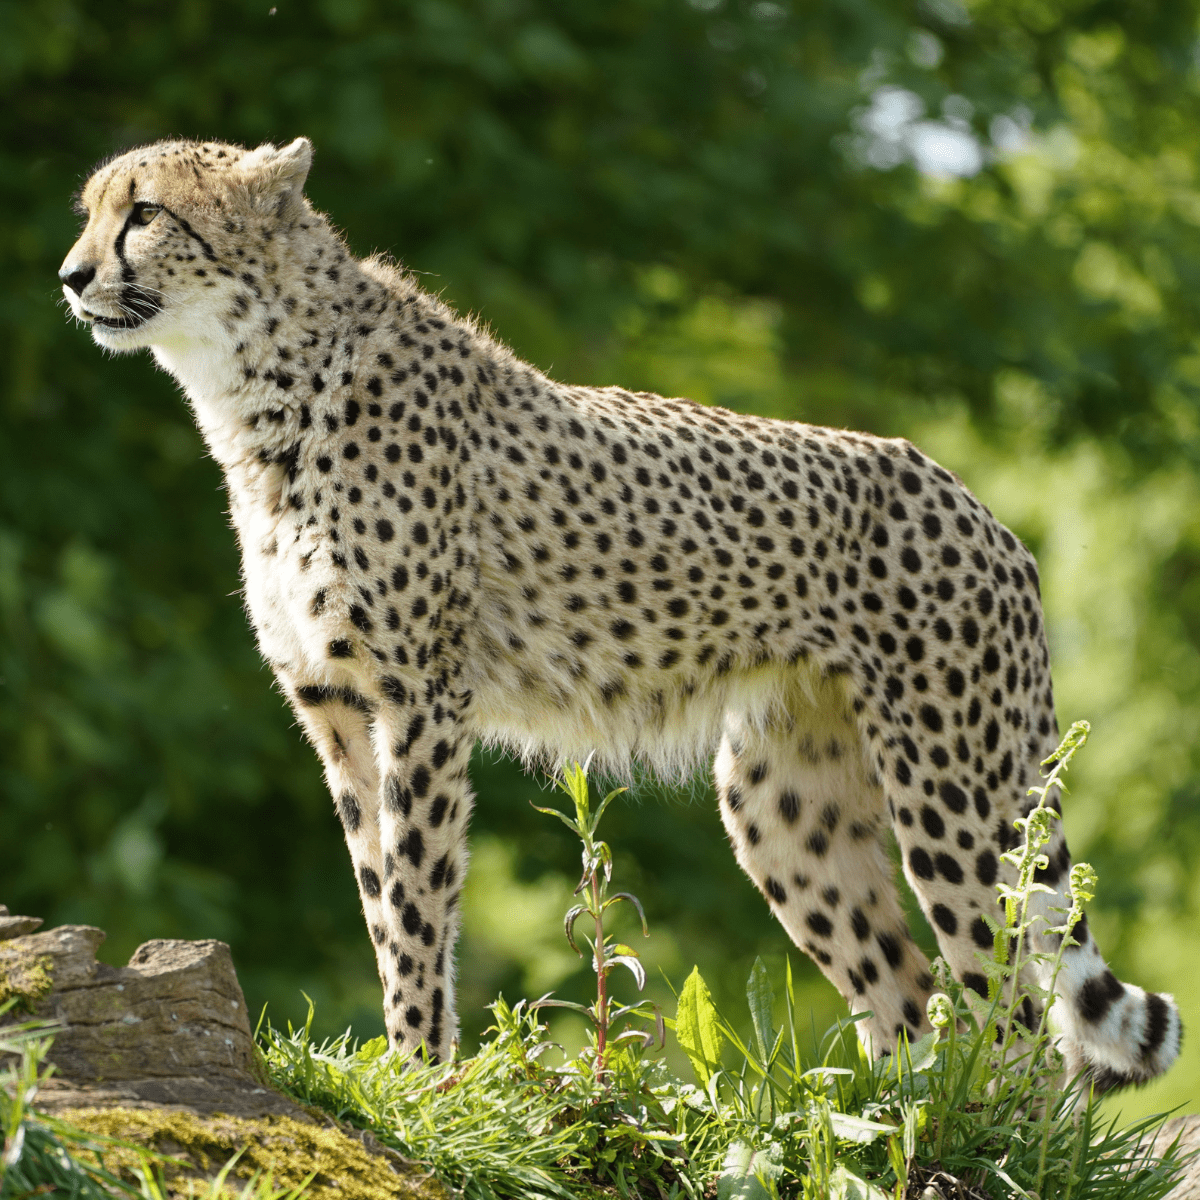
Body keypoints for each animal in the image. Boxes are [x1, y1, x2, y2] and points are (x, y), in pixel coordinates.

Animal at [59, 136, 1180, 1092]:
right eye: (90, 213)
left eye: (145, 213)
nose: (69, 276)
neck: (262, 385)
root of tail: (980, 507)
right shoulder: (333, 706)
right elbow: (380, 897)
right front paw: (401, 1065)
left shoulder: (418, 700)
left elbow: (420, 903)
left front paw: (420, 1077)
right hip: (784, 807)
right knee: (909, 995)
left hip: (954, 793)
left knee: (1024, 1031)